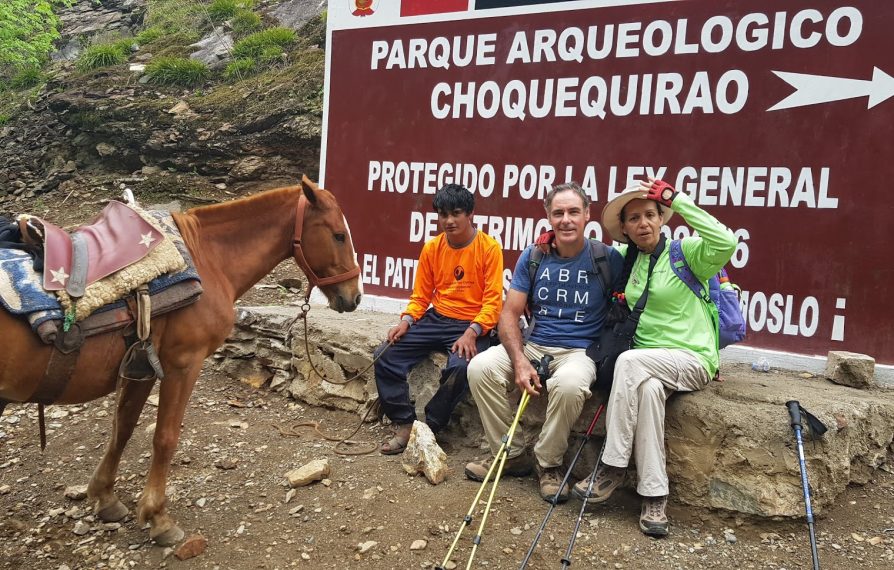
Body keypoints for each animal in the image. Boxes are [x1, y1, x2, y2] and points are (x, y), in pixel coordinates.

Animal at [0, 175, 364, 544]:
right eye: (339, 235)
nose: (354, 296)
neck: (208, 258)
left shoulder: (140, 368)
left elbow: (123, 428)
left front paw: (105, 498)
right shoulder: (182, 365)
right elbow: (165, 437)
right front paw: (157, 516)